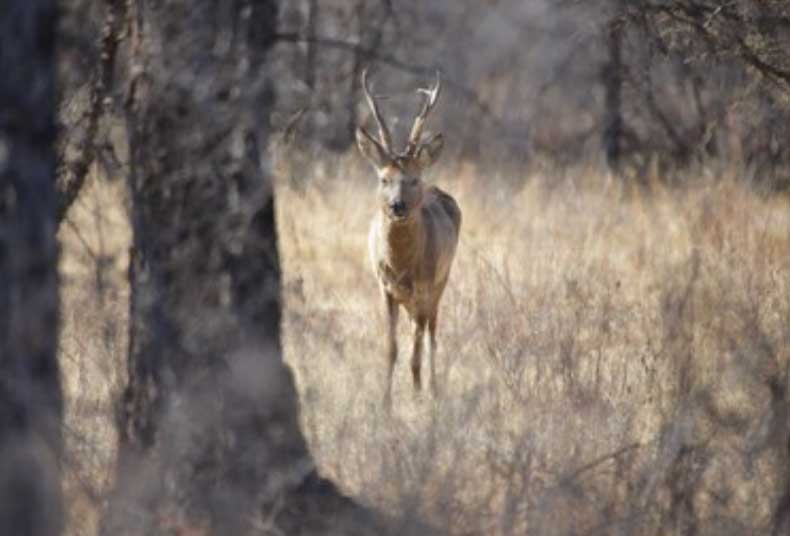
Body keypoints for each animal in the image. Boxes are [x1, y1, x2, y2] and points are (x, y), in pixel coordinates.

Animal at [356, 69, 460, 408]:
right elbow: (391, 349)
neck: (402, 265)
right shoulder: (384, 286)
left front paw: (417, 398)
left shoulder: (425, 284)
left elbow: (416, 348)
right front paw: (385, 404)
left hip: (442, 280)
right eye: (383, 178)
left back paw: (432, 389)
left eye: (413, 179)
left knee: (431, 334)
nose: (397, 206)